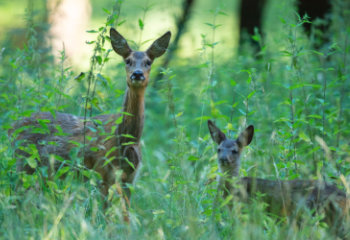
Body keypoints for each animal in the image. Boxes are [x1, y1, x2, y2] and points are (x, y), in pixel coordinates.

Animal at [9, 27, 171, 209]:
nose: (137, 74)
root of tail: (11, 128)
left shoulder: (131, 178)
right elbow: (103, 210)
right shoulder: (102, 171)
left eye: (148, 62)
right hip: (24, 162)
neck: (125, 138)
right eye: (128, 61)